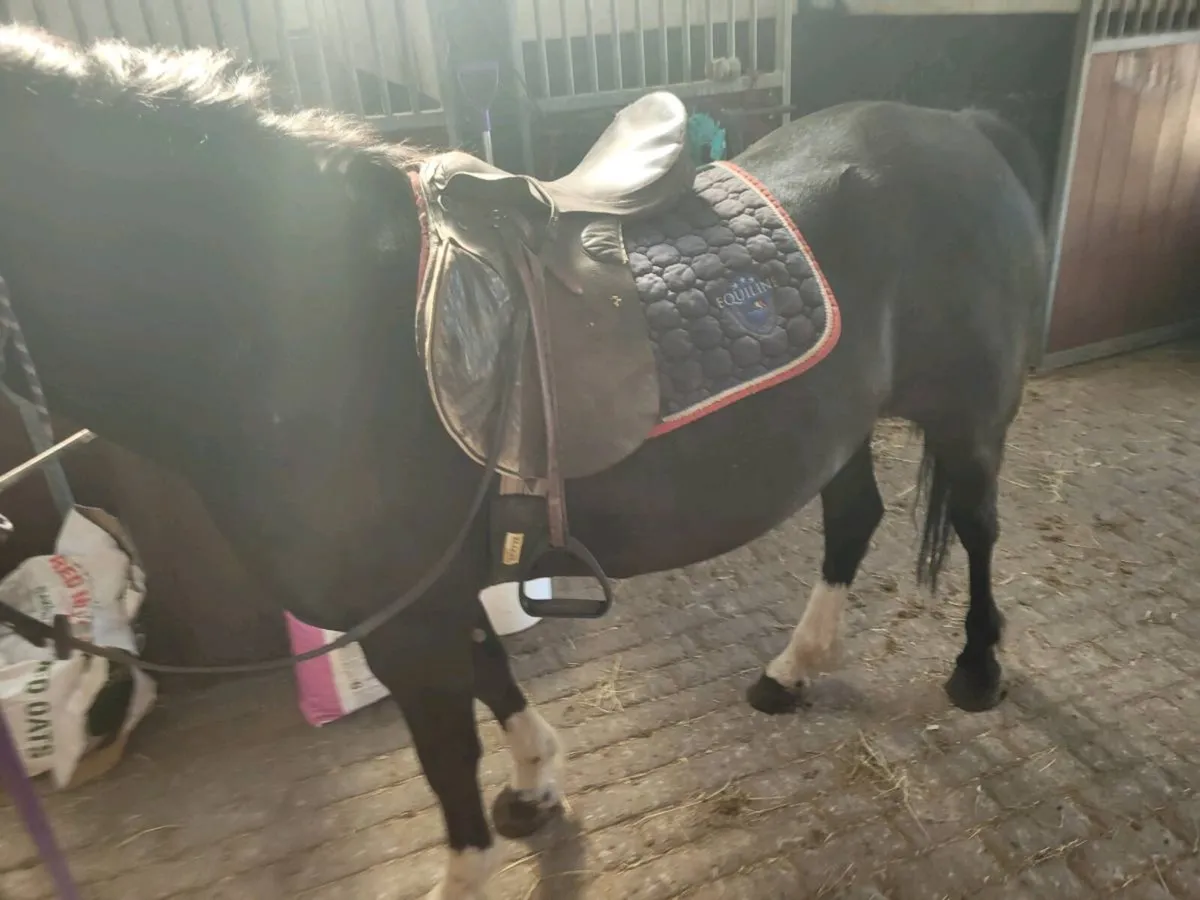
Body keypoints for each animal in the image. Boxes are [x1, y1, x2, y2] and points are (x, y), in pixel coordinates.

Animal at [0, 25, 1046, 900]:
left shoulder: (405, 619)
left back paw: (975, 671)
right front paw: (537, 786)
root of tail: (964, 129)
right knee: (852, 519)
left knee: (981, 531)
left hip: (968, 419)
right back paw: (790, 672)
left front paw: (470, 868)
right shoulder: (431, 593)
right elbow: (493, 674)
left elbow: (447, 760)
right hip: (841, 426)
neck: (301, 322)